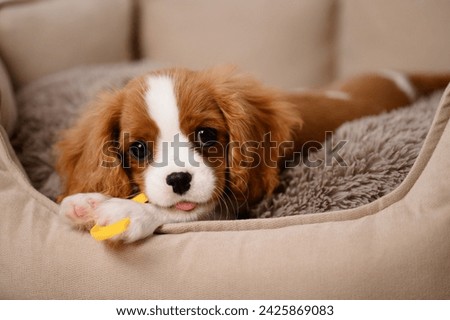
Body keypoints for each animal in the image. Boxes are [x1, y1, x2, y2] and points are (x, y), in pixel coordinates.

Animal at [56, 68, 450, 242]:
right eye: (137, 148)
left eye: (206, 135)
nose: (179, 179)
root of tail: (403, 78)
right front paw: (88, 201)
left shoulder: (232, 203)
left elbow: (189, 211)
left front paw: (126, 212)